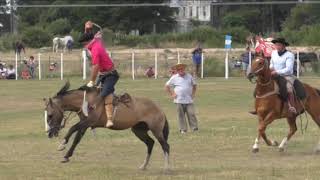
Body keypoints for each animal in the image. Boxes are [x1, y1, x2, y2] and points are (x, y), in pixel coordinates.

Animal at [44, 82, 172, 171]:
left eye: (50, 115)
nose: (50, 133)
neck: (86, 102)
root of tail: (159, 108)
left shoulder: (88, 122)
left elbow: (72, 129)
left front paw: (61, 145)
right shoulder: (85, 125)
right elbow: (76, 139)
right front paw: (66, 156)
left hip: (156, 130)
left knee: (165, 145)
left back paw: (167, 167)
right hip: (139, 130)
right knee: (150, 143)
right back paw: (143, 166)